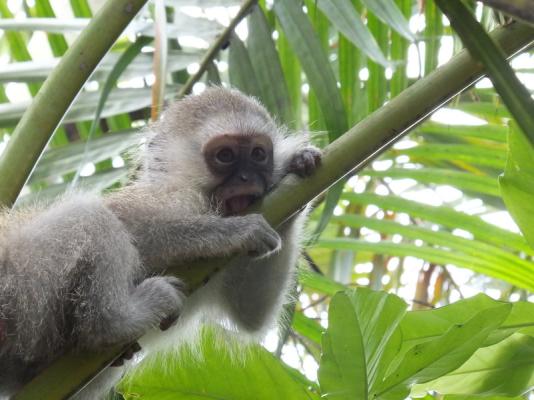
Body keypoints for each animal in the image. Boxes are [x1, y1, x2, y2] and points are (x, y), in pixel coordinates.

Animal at [0, 87, 320, 394]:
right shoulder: (177, 200)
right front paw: (238, 231)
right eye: (225, 156)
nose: (246, 178)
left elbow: (250, 314)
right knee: (92, 215)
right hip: (18, 278)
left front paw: (296, 167)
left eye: (258, 154)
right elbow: (131, 222)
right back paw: (112, 323)